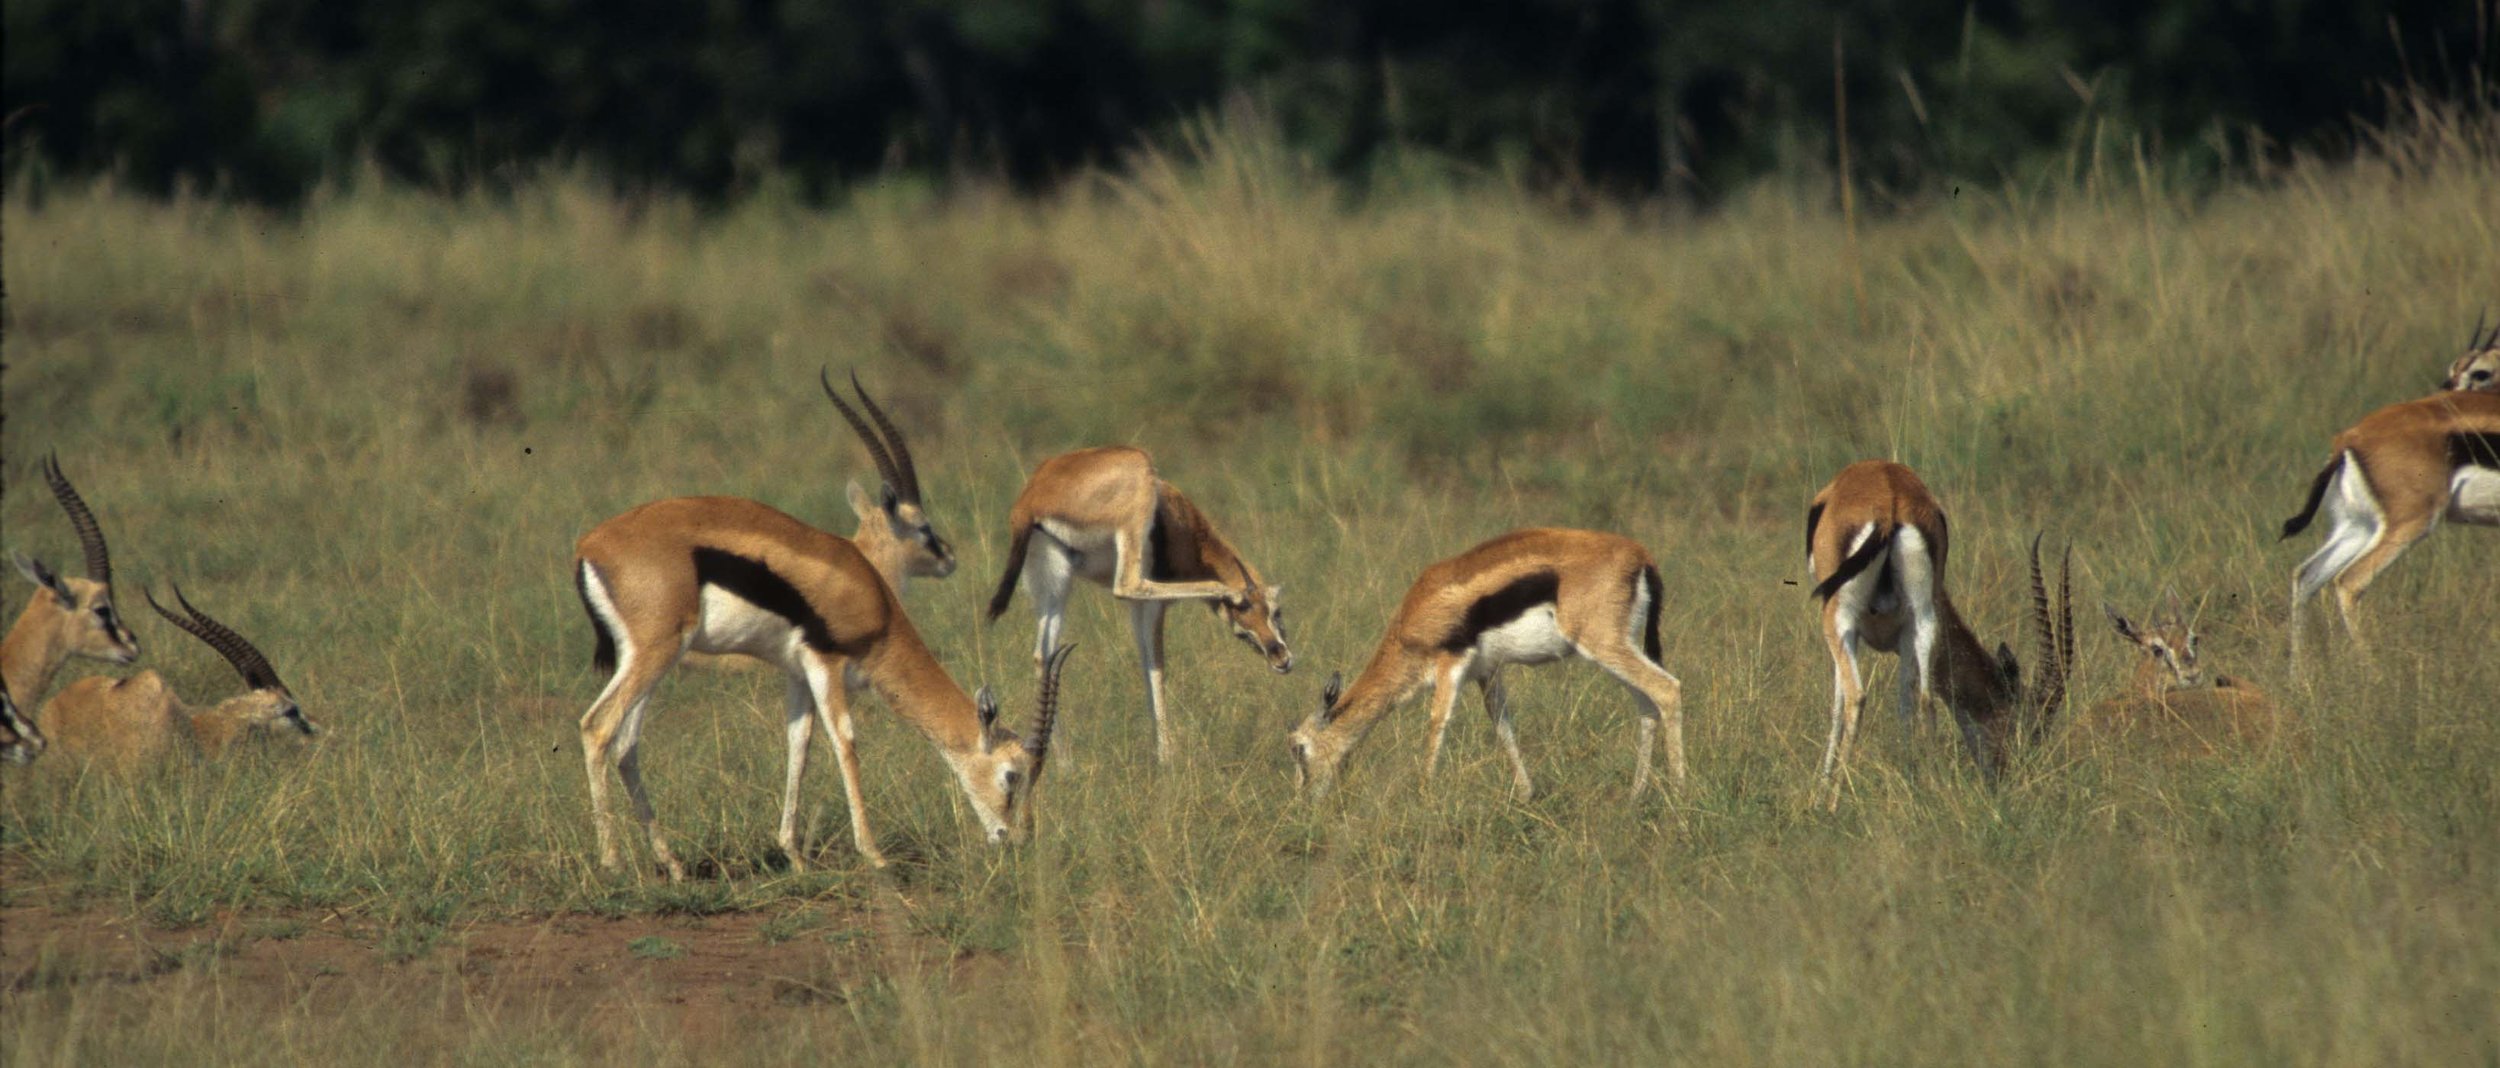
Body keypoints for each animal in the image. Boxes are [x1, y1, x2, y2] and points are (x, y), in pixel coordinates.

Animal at [987, 446, 1290, 764]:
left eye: (1275, 613)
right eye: (1242, 632)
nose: (1281, 659)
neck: (1176, 517)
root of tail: (1029, 500)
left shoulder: (1137, 609)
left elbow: (1146, 662)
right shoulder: (1154, 604)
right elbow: (1156, 665)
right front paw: (1166, 756)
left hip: (1055, 583)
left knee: (1042, 654)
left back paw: (1062, 761)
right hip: (1131, 514)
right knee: (1125, 585)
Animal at [1285, 528, 1683, 801]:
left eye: (1299, 749)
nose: (1302, 801)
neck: (1412, 620)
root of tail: (1641, 556)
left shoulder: (1450, 664)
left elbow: (1437, 724)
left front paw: (1424, 796)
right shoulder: (1487, 673)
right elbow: (1503, 726)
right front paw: (1526, 795)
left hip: (1604, 645)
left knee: (1667, 688)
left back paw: (1679, 794)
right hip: (1618, 649)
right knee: (1647, 705)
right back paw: (1635, 796)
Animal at [1806, 461, 2071, 808]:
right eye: (2032, 727)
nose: (2010, 776)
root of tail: (1889, 502)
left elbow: (1838, 705)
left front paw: (1820, 792)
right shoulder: (1906, 638)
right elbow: (1906, 703)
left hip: (1839, 619)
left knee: (1857, 697)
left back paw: (1834, 804)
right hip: (1923, 619)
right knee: (1925, 700)